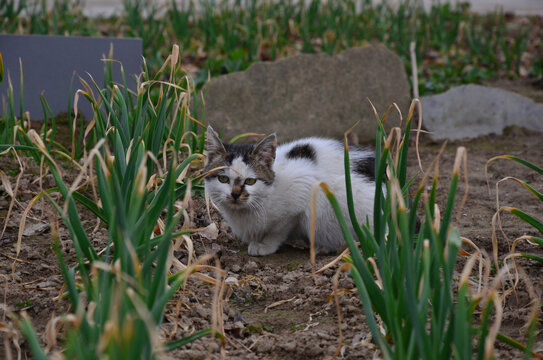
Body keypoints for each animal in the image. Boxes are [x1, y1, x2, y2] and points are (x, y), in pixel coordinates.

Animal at [203, 126, 378, 256]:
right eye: (223, 179)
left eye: (250, 181)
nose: (235, 194)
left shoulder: (304, 188)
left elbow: (279, 229)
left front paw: (264, 245)